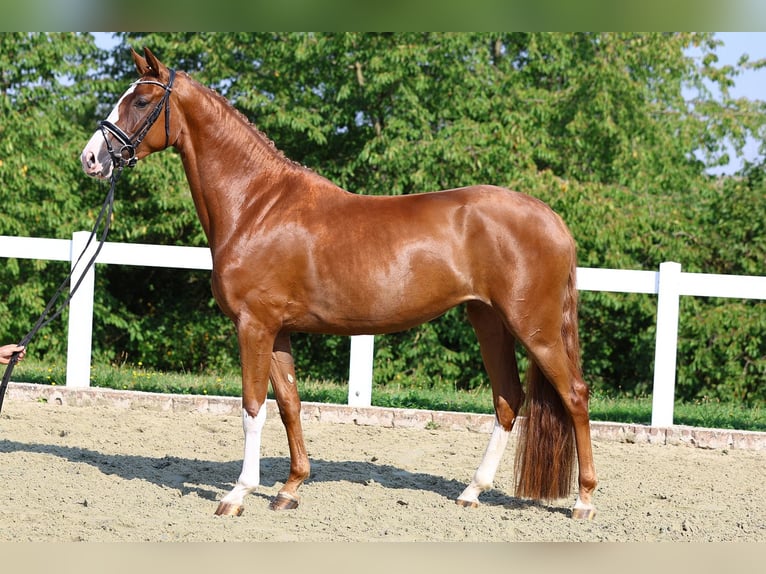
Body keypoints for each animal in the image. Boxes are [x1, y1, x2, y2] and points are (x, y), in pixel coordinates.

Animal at [82, 47, 600, 520]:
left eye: (142, 100)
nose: (91, 158)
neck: (256, 206)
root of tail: (553, 219)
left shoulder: (254, 326)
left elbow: (252, 407)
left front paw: (238, 494)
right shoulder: (278, 332)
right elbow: (289, 405)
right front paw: (289, 488)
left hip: (534, 329)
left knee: (574, 396)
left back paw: (584, 500)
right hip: (488, 320)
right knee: (508, 400)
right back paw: (472, 491)